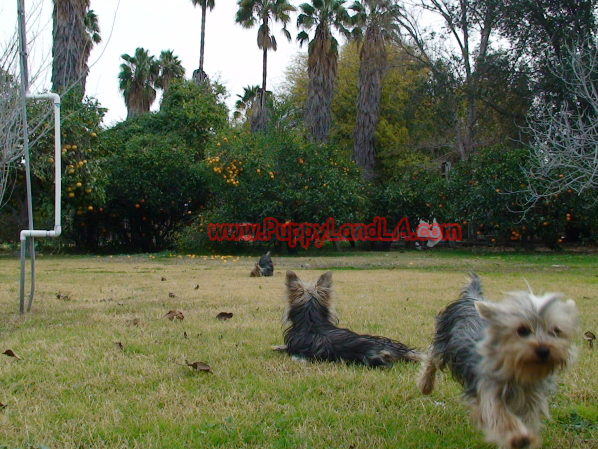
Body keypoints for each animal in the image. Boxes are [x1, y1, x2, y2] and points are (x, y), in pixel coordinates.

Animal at [418, 272, 580, 448]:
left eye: (555, 331)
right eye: (522, 330)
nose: (544, 350)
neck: (518, 370)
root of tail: (471, 297)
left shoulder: (530, 398)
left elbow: (527, 419)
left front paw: (523, 438)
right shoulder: (487, 389)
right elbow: (499, 414)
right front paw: (518, 437)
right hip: (443, 342)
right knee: (431, 358)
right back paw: (425, 385)